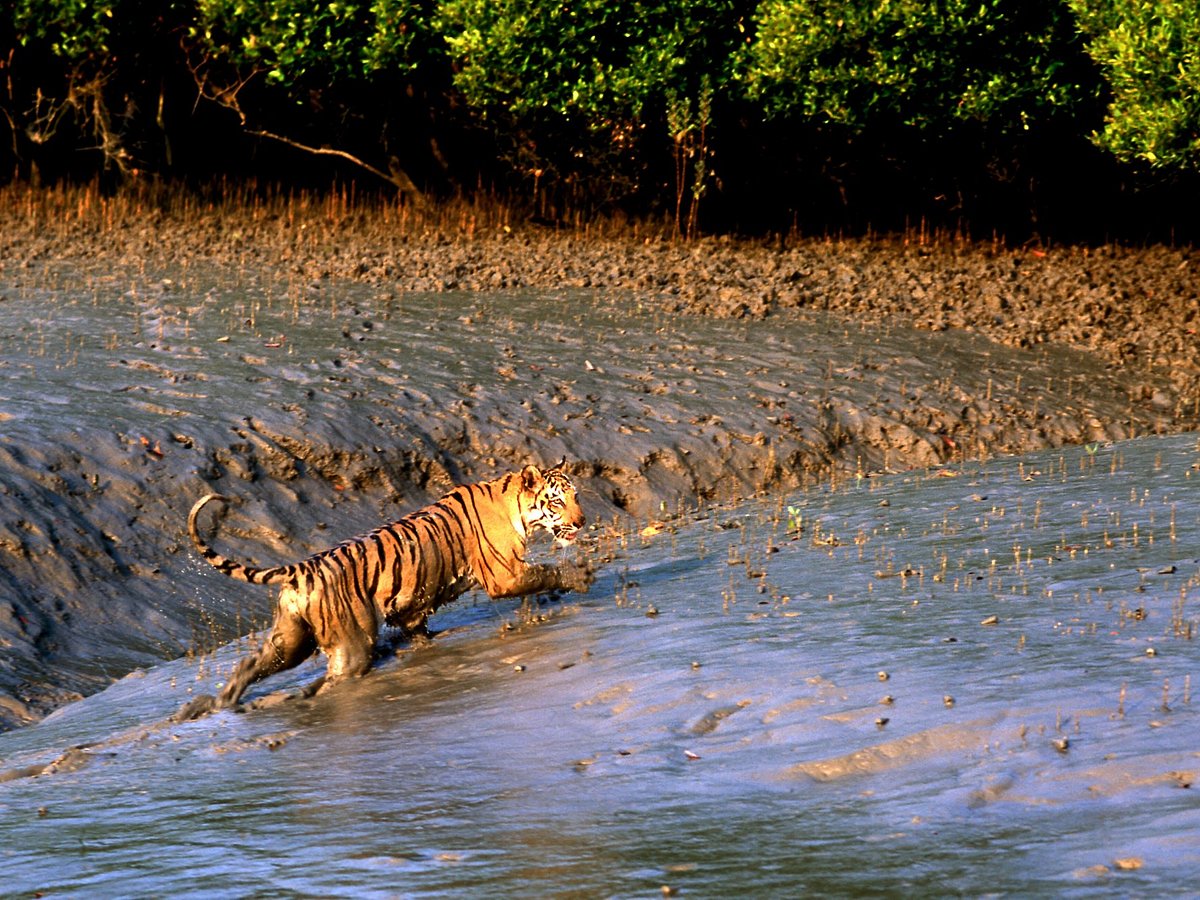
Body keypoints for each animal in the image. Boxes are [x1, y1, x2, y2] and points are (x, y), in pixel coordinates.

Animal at [171, 460, 592, 724]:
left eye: (577, 496)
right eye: (558, 500)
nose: (582, 520)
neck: (516, 506)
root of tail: (302, 568)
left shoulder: (413, 604)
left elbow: (418, 628)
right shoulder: (504, 575)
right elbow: (546, 573)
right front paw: (581, 576)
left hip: (292, 639)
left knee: (251, 664)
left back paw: (218, 704)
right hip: (351, 643)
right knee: (331, 680)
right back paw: (291, 699)